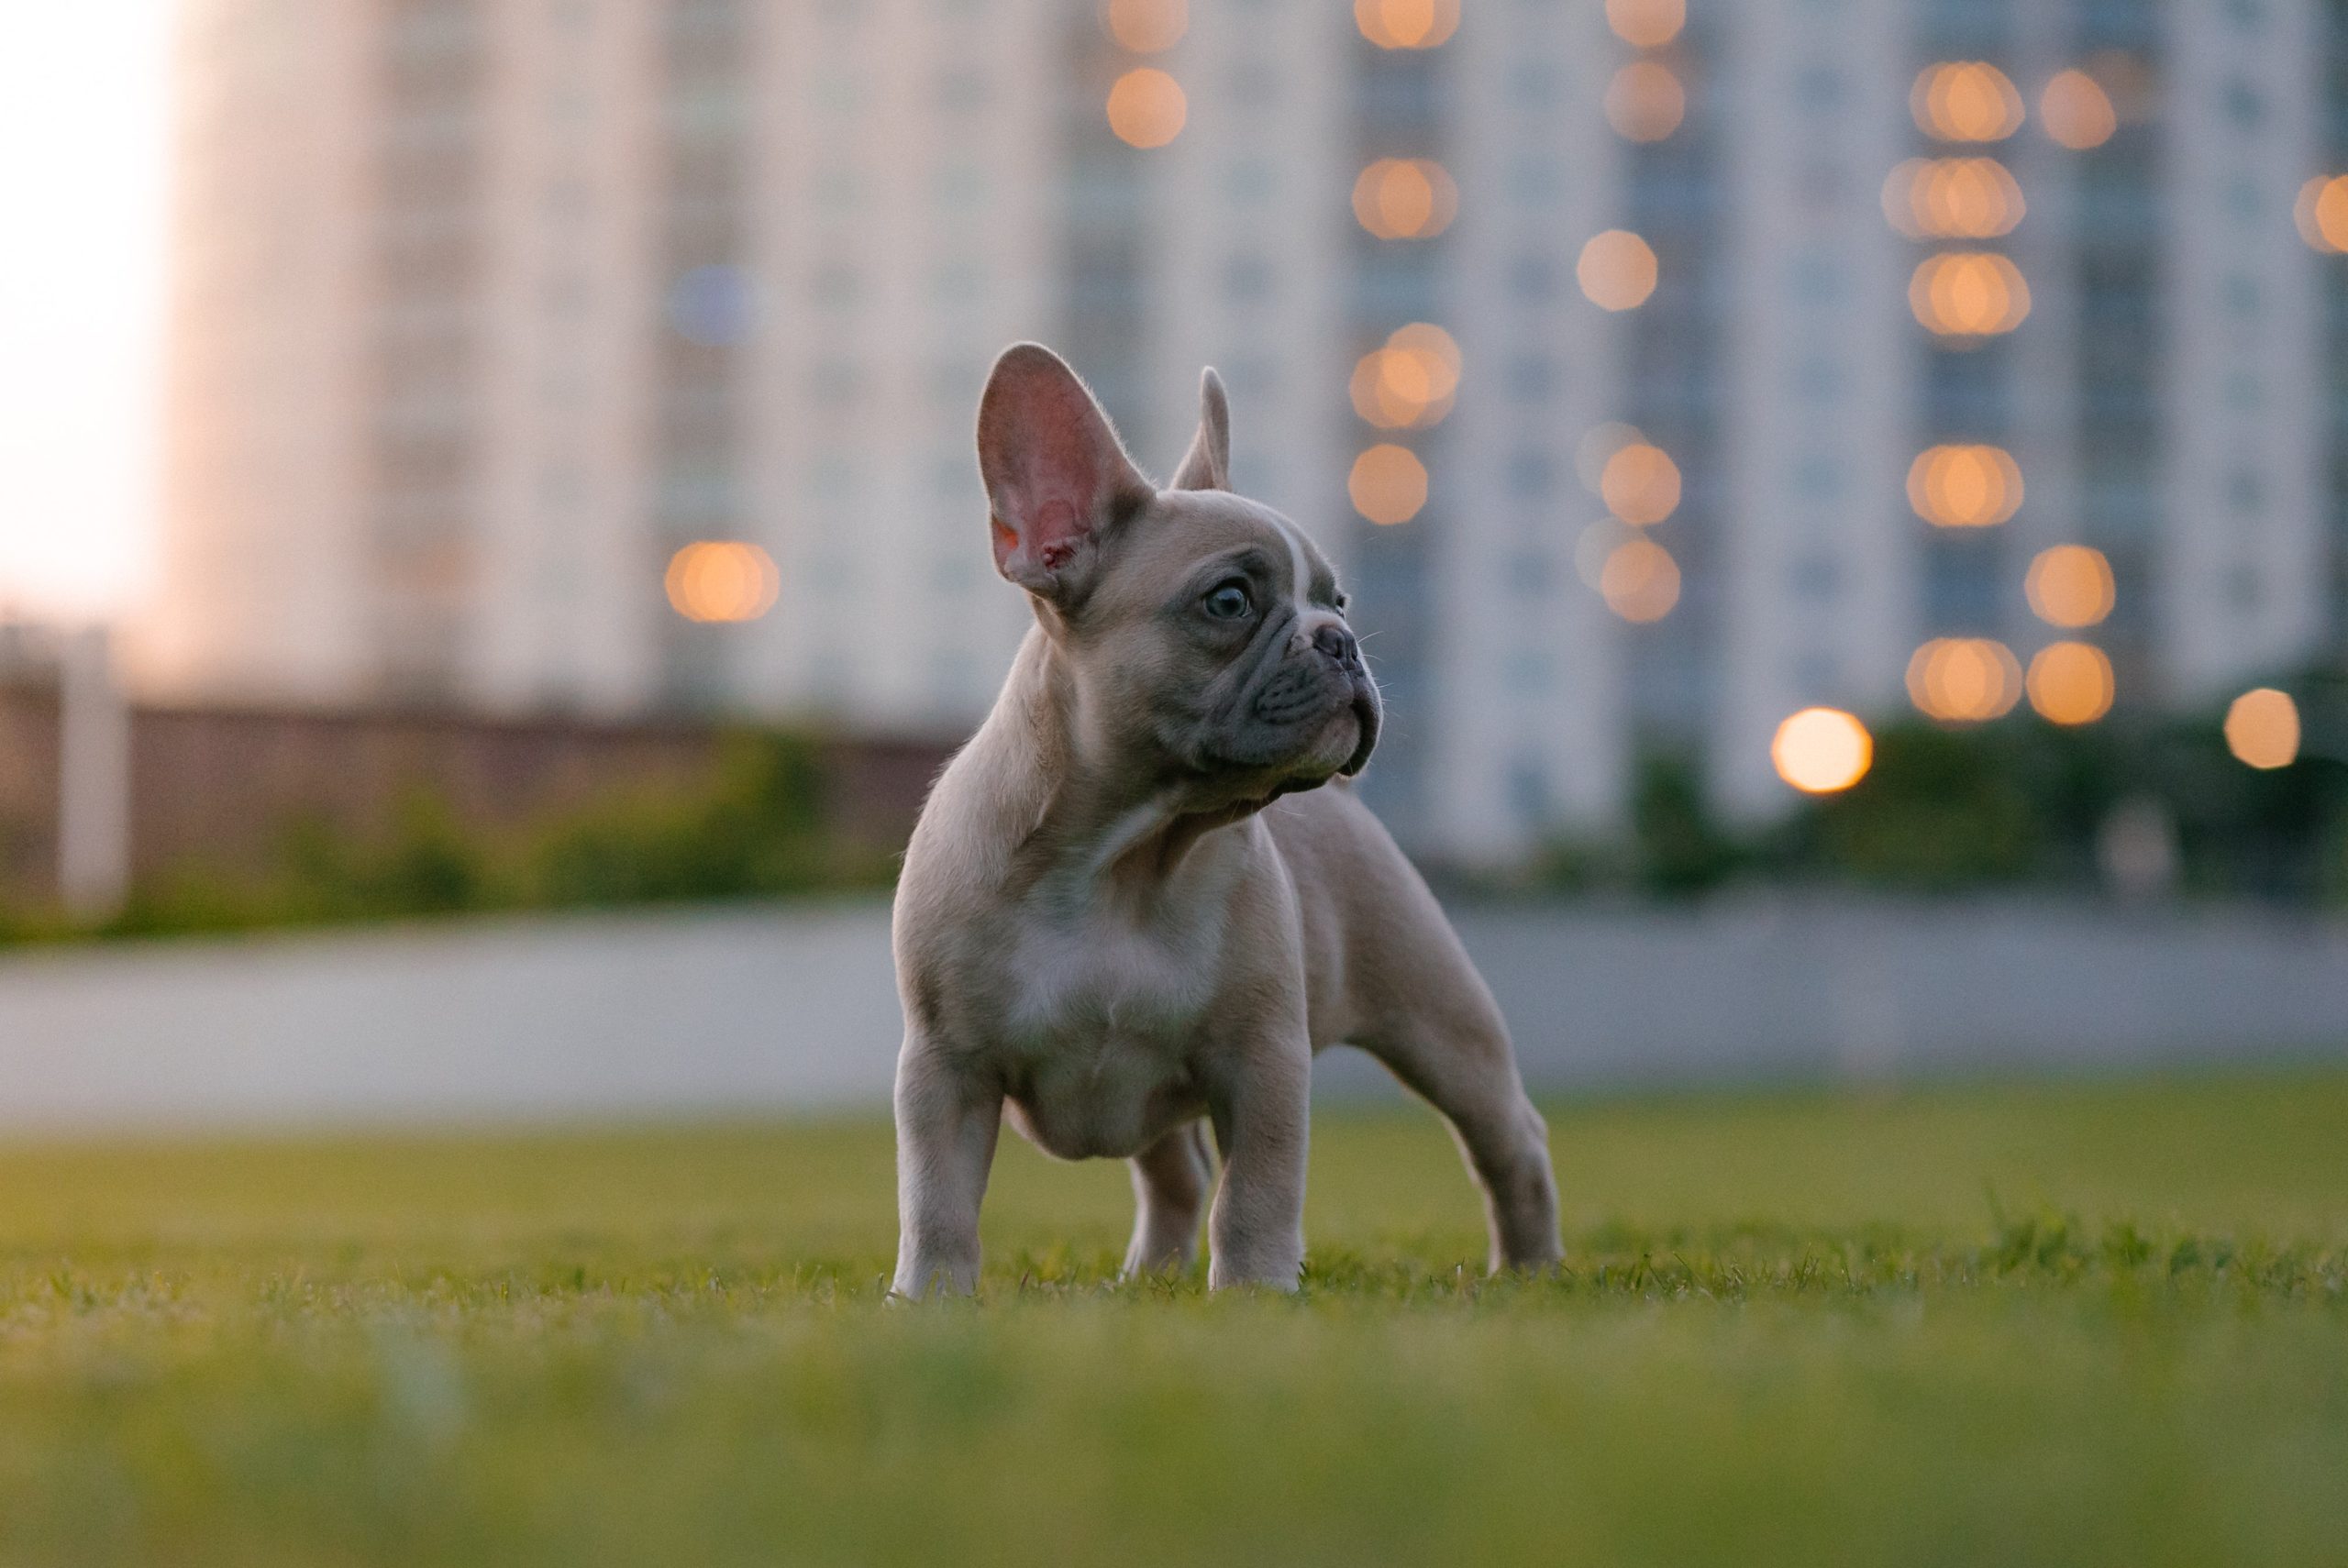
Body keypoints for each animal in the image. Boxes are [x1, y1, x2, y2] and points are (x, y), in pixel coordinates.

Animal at [887, 349, 1568, 1296]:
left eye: (1339, 601)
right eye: (1230, 601)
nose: (1340, 641)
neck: (1125, 854)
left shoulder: (1261, 1061)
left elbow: (1257, 1190)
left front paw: (1252, 1293)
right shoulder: (945, 1070)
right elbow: (939, 1199)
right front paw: (930, 1300)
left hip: (1441, 1024)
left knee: (1508, 1141)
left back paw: (1530, 1267)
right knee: (1176, 1175)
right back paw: (1150, 1277)